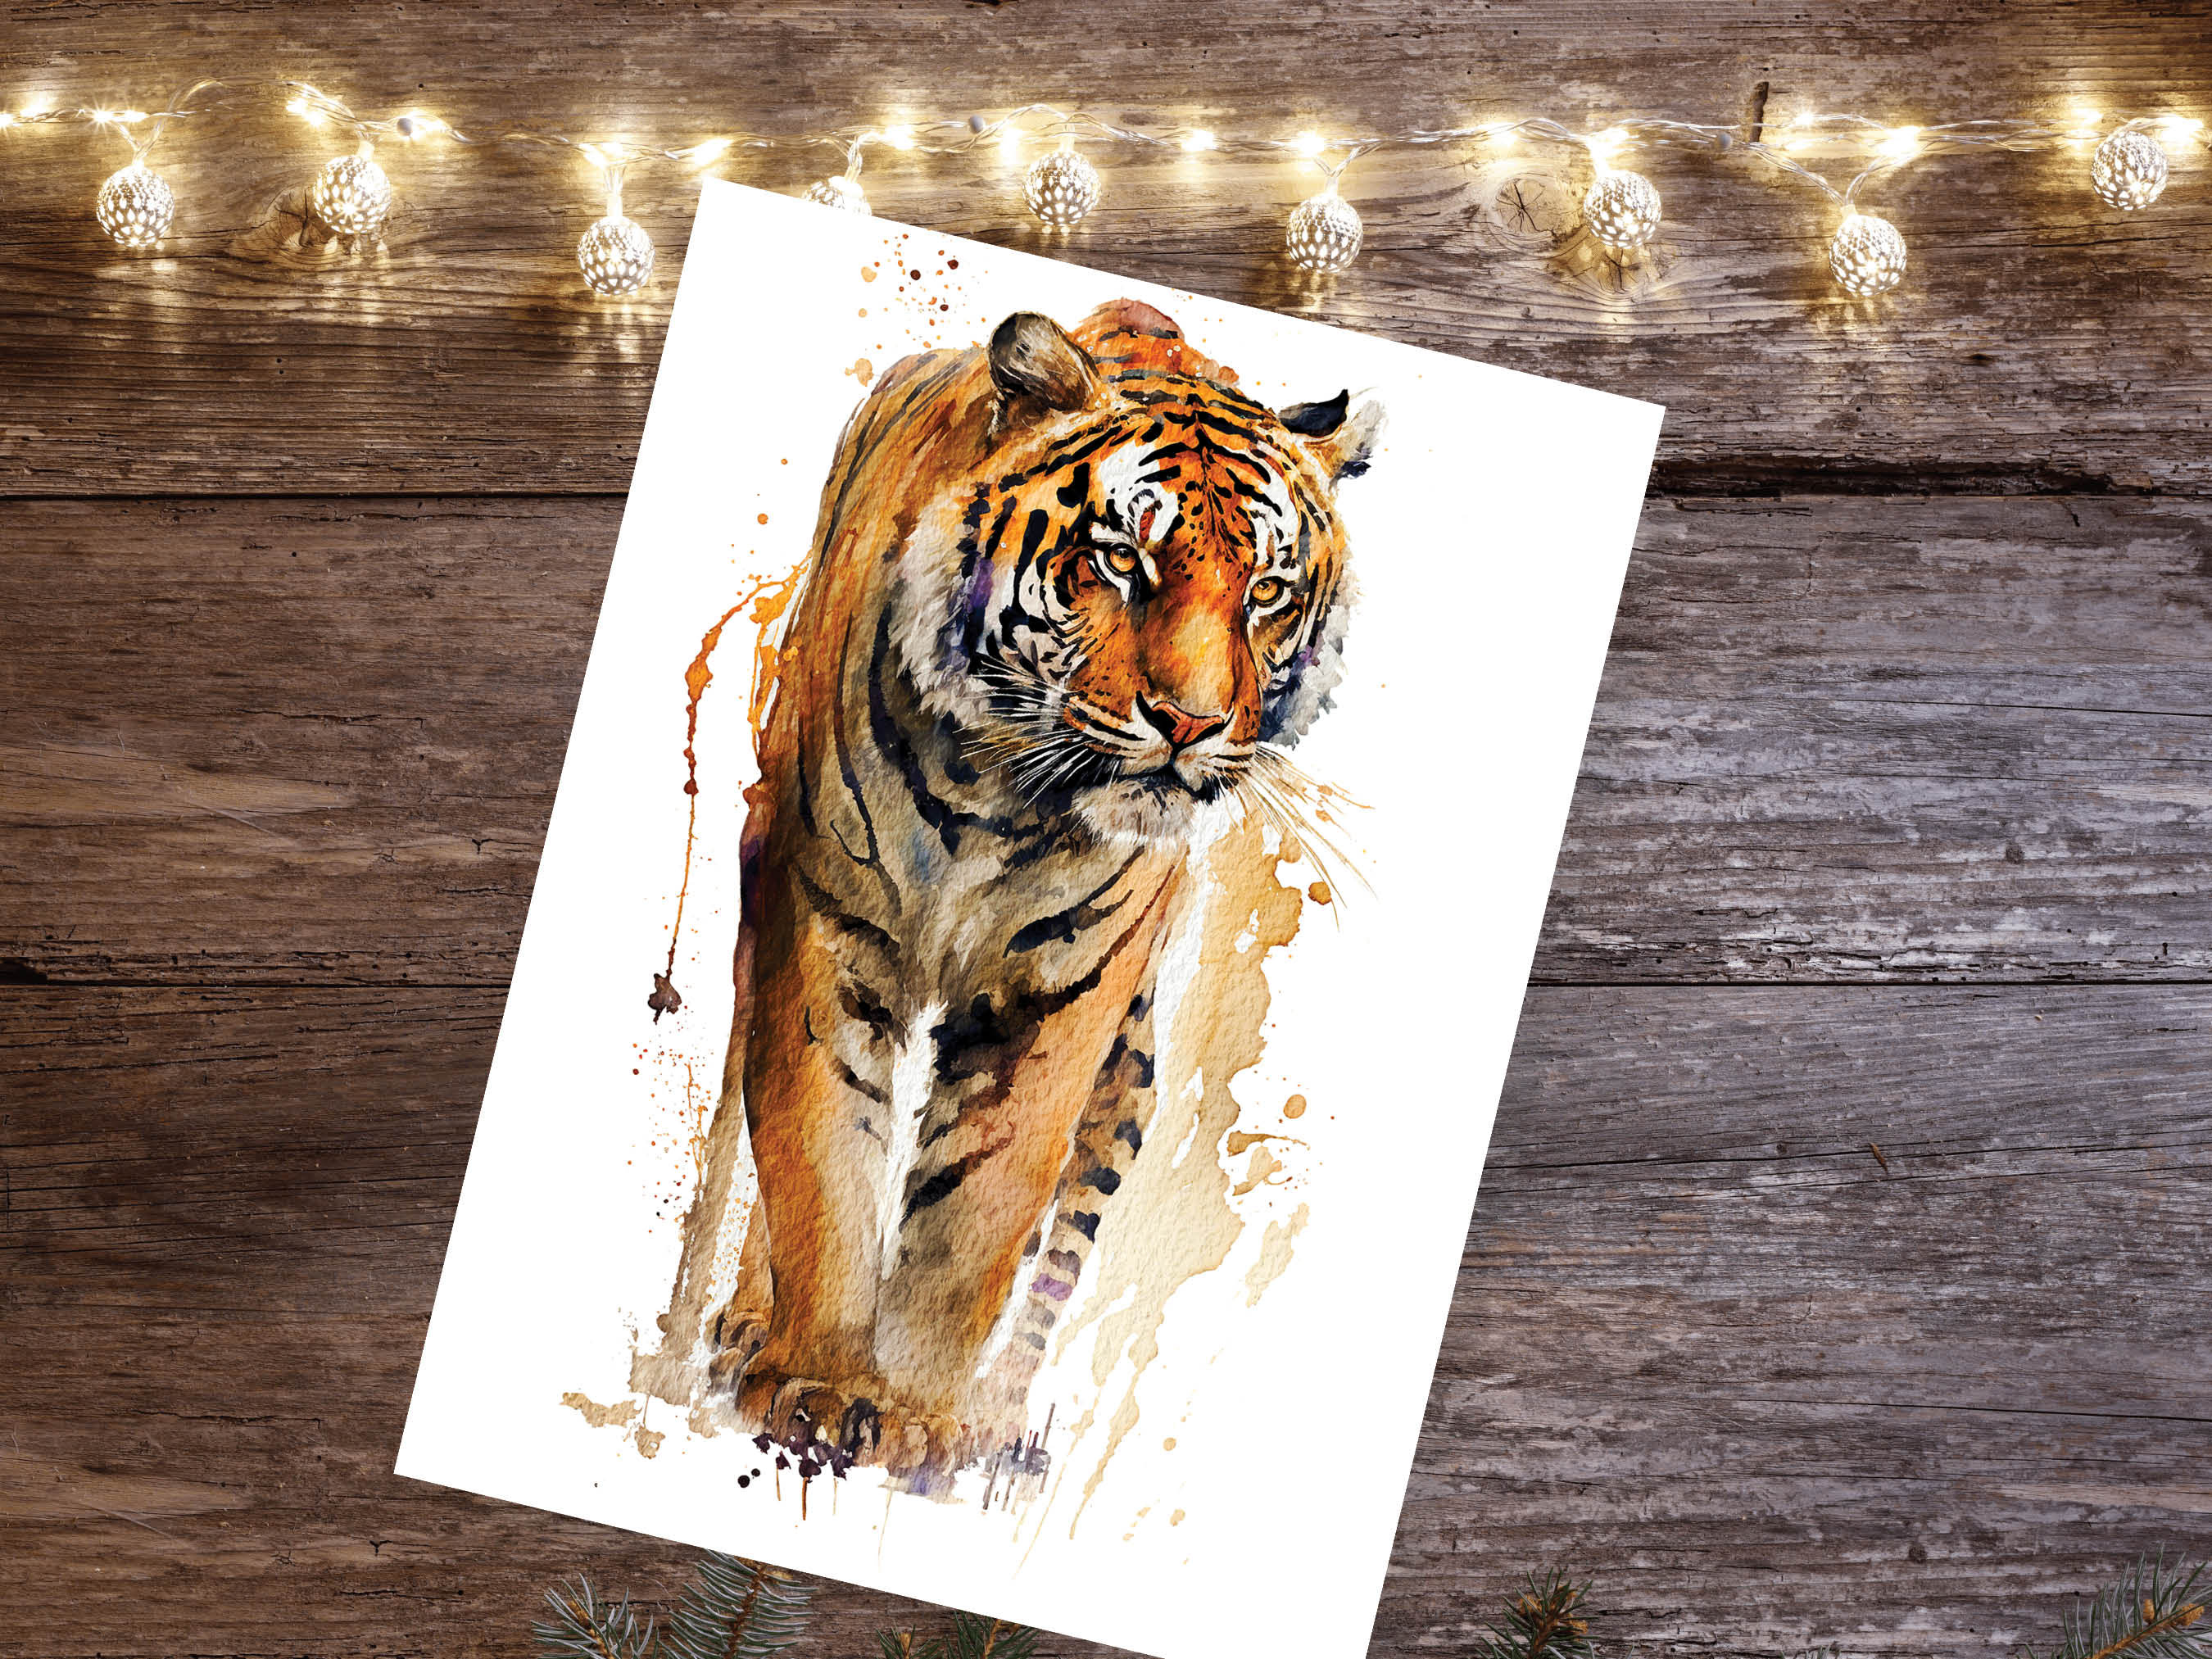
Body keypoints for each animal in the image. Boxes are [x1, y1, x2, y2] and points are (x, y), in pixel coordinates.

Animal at [692, 297, 1383, 1485]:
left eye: (1266, 592)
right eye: (1122, 560)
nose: (1191, 722)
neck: (999, 797)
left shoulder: (1066, 994)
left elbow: (983, 1204)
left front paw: (915, 1412)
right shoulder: (820, 924)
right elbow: (820, 1154)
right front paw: (816, 1385)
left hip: (1131, 1053)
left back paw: (998, 1418)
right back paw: (744, 1325)